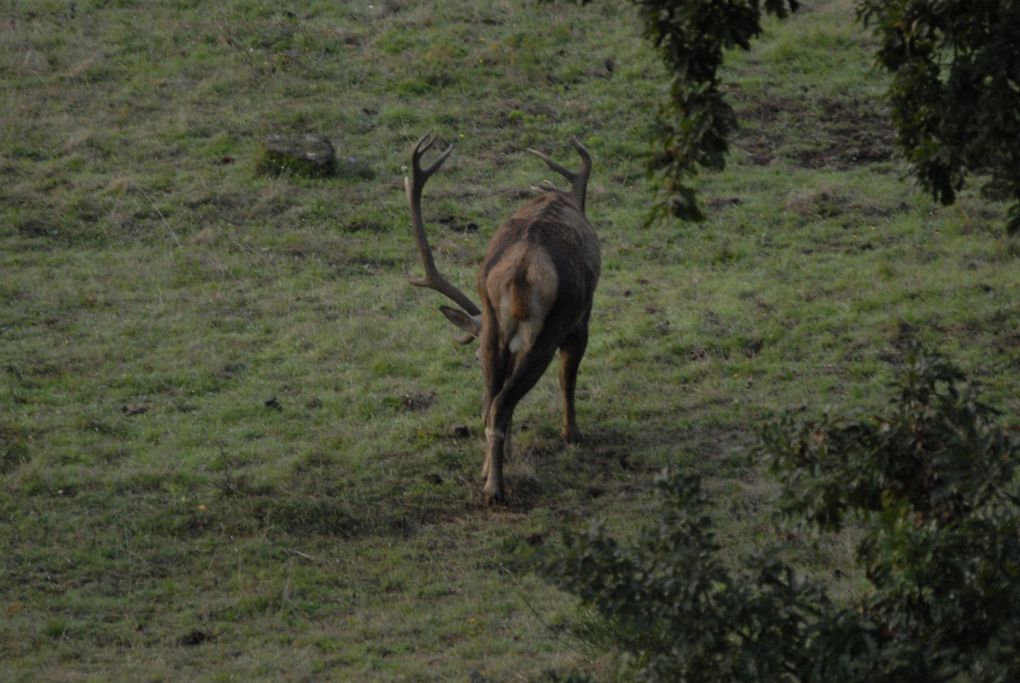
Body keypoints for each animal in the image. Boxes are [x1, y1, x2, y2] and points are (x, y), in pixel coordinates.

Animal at [403, 132, 595, 503]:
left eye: (474, 355)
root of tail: (522, 269)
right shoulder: (582, 320)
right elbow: (568, 379)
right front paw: (572, 434)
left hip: (494, 329)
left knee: (492, 402)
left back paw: (488, 473)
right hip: (548, 331)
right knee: (504, 401)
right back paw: (495, 488)